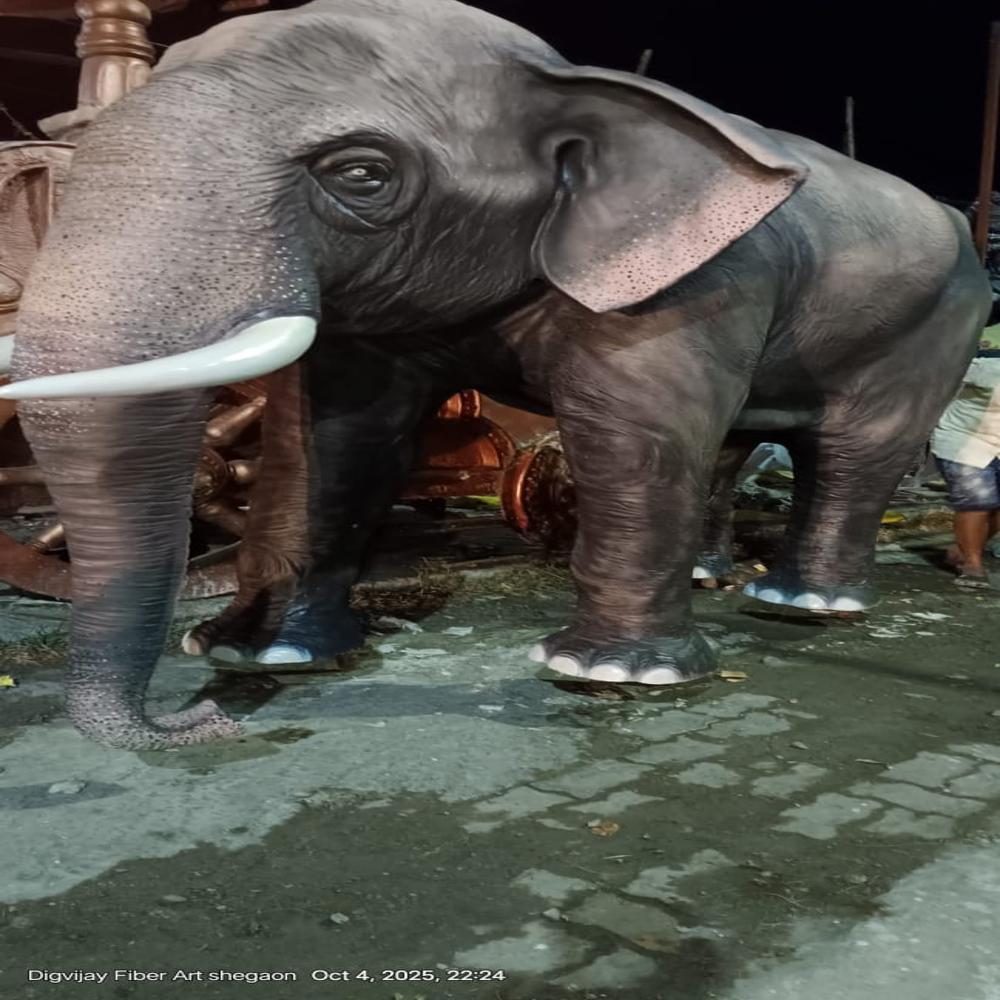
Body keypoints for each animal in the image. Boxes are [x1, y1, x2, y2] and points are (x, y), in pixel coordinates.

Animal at [0, 0, 991, 750]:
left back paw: (805, 605)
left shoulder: (697, 283)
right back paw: (722, 582)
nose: (203, 720)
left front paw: (607, 675)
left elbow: (630, 444)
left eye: (361, 174)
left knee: (855, 450)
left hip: (942, 319)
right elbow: (331, 440)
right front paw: (262, 659)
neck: (566, 76)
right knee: (730, 445)